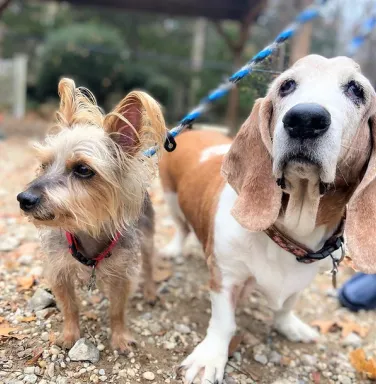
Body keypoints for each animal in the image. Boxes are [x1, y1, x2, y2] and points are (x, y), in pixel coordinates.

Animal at [16, 79, 166, 354]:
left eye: (83, 169)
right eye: (44, 165)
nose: (24, 199)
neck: (88, 231)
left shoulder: (122, 273)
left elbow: (117, 310)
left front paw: (119, 338)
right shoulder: (59, 271)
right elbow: (69, 306)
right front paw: (69, 335)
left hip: (148, 238)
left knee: (149, 266)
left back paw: (150, 291)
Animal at [160, 54, 376, 384]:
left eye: (356, 89)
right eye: (286, 85)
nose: (305, 119)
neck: (290, 232)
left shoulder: (300, 282)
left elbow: (286, 305)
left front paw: (289, 326)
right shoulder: (227, 276)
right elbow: (224, 323)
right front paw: (209, 359)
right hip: (171, 199)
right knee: (182, 228)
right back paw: (174, 250)